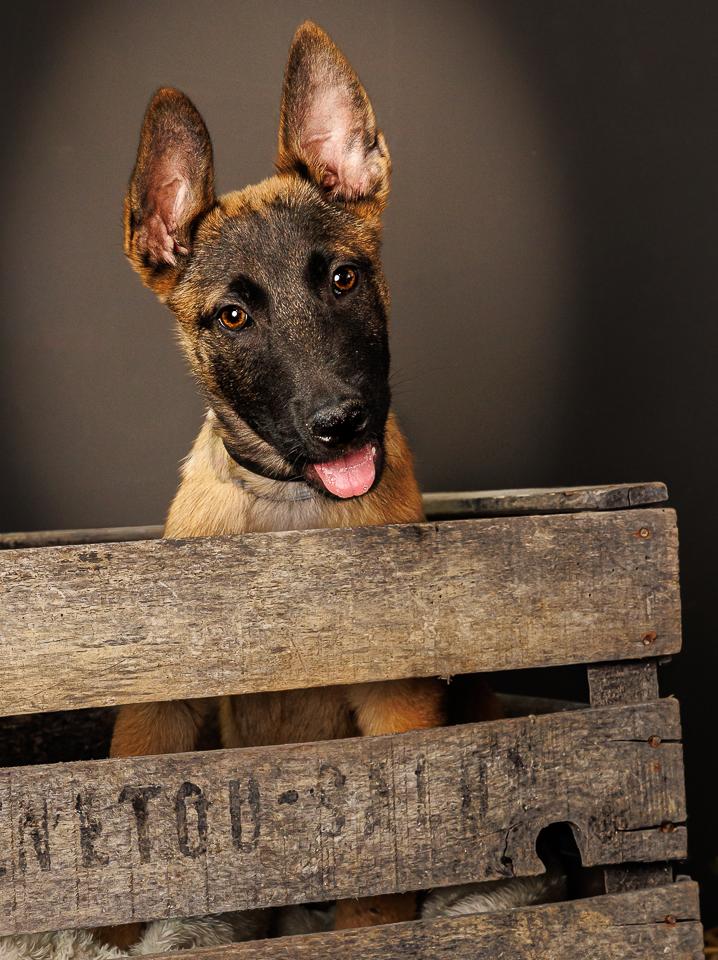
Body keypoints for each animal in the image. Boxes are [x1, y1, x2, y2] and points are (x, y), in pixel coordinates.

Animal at [106, 22, 448, 944]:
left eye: (343, 278)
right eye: (233, 316)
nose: (342, 423)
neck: (294, 514)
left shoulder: (397, 698)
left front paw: (375, 926)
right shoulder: (158, 707)